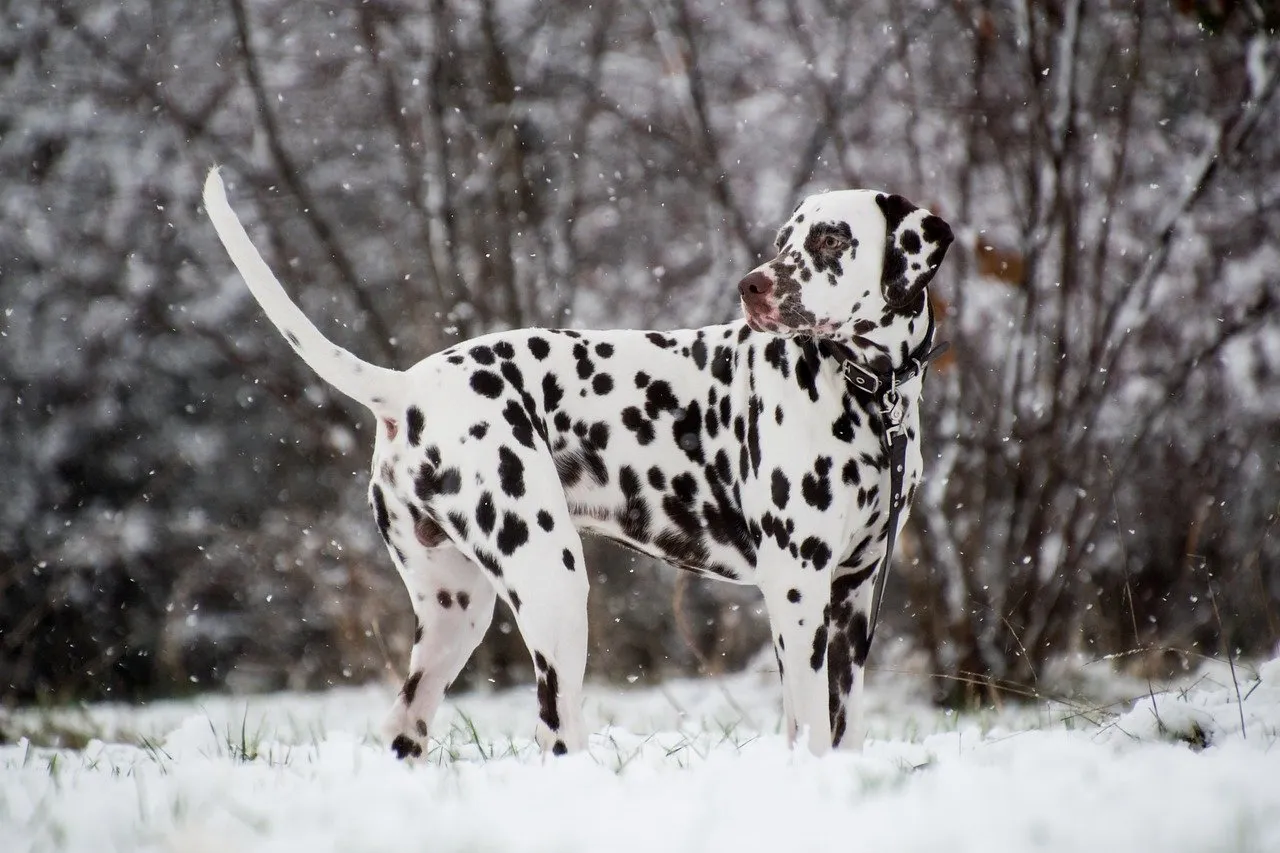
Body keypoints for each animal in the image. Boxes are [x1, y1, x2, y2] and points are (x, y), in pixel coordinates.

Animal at [202, 169, 952, 753]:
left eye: (830, 239)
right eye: (782, 242)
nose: (752, 286)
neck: (867, 392)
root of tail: (408, 386)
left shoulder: (853, 598)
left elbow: (842, 726)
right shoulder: (797, 590)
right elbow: (809, 727)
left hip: (455, 615)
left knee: (404, 725)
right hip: (554, 588)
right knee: (555, 731)